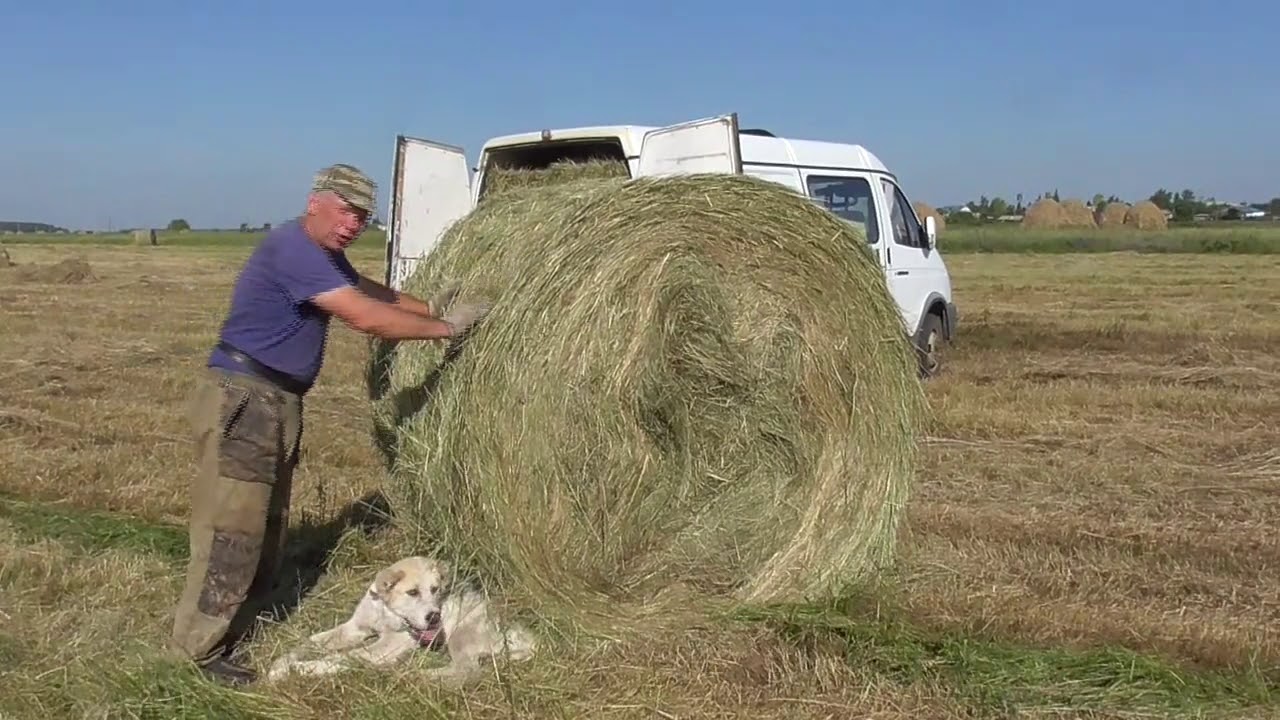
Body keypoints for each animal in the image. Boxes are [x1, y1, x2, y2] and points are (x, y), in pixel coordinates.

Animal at [266, 550, 535, 681]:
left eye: (435, 590)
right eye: (412, 592)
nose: (434, 617)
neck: (386, 612)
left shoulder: (387, 646)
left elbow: (344, 657)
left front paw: (307, 668)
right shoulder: (354, 628)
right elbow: (309, 642)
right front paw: (281, 665)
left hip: (461, 632)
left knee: (467, 670)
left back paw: (417, 675)